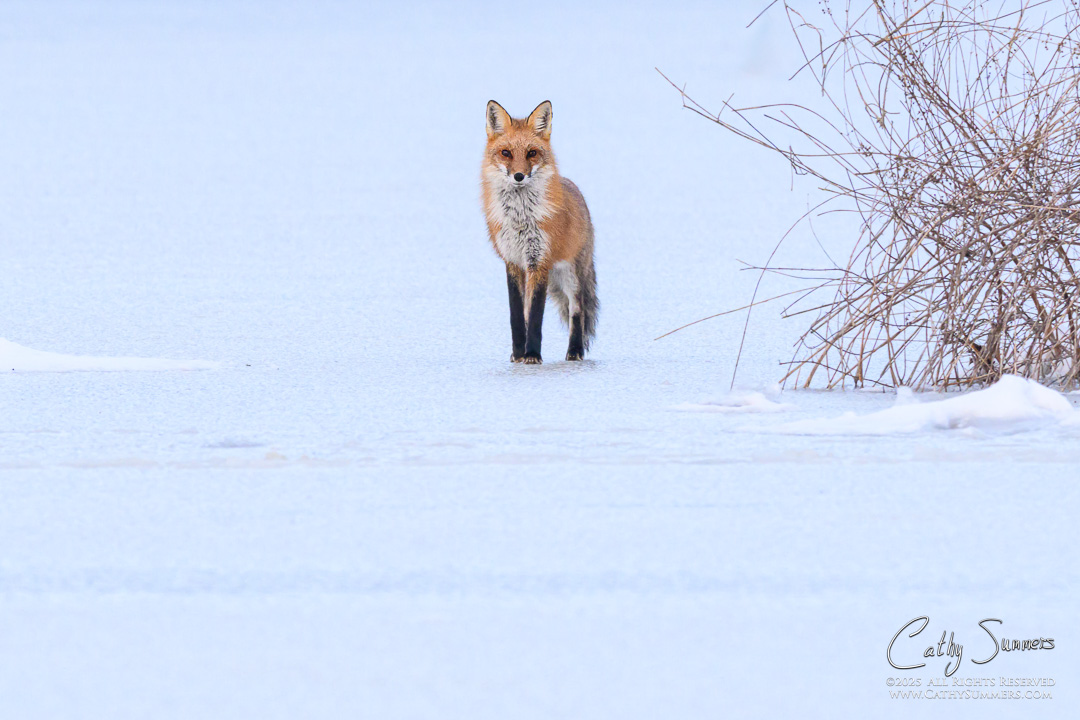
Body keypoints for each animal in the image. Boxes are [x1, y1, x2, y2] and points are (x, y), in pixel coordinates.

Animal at [481, 99, 598, 364]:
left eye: (532, 153)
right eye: (506, 153)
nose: (519, 176)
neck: (520, 219)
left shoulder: (539, 261)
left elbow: (535, 316)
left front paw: (532, 354)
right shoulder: (513, 261)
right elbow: (518, 315)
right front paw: (518, 354)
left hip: (571, 274)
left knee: (577, 310)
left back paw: (575, 351)